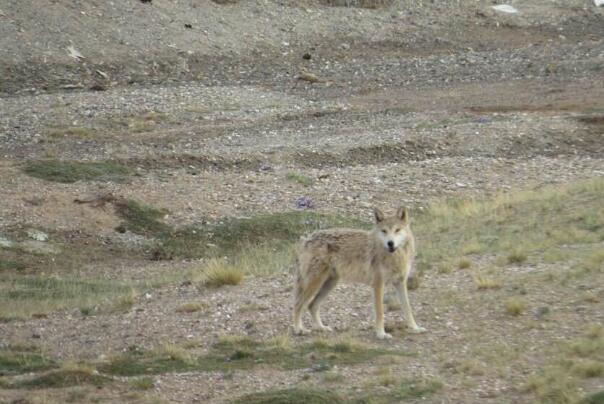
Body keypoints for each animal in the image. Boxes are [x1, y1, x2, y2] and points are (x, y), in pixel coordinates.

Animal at [292, 207, 424, 340]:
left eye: (397, 230)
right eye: (384, 231)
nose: (390, 243)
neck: (394, 256)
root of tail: (307, 239)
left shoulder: (401, 282)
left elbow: (408, 308)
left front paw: (415, 328)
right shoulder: (378, 284)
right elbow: (380, 311)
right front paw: (381, 334)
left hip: (330, 283)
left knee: (312, 305)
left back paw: (321, 327)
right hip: (316, 283)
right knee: (298, 304)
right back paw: (299, 329)